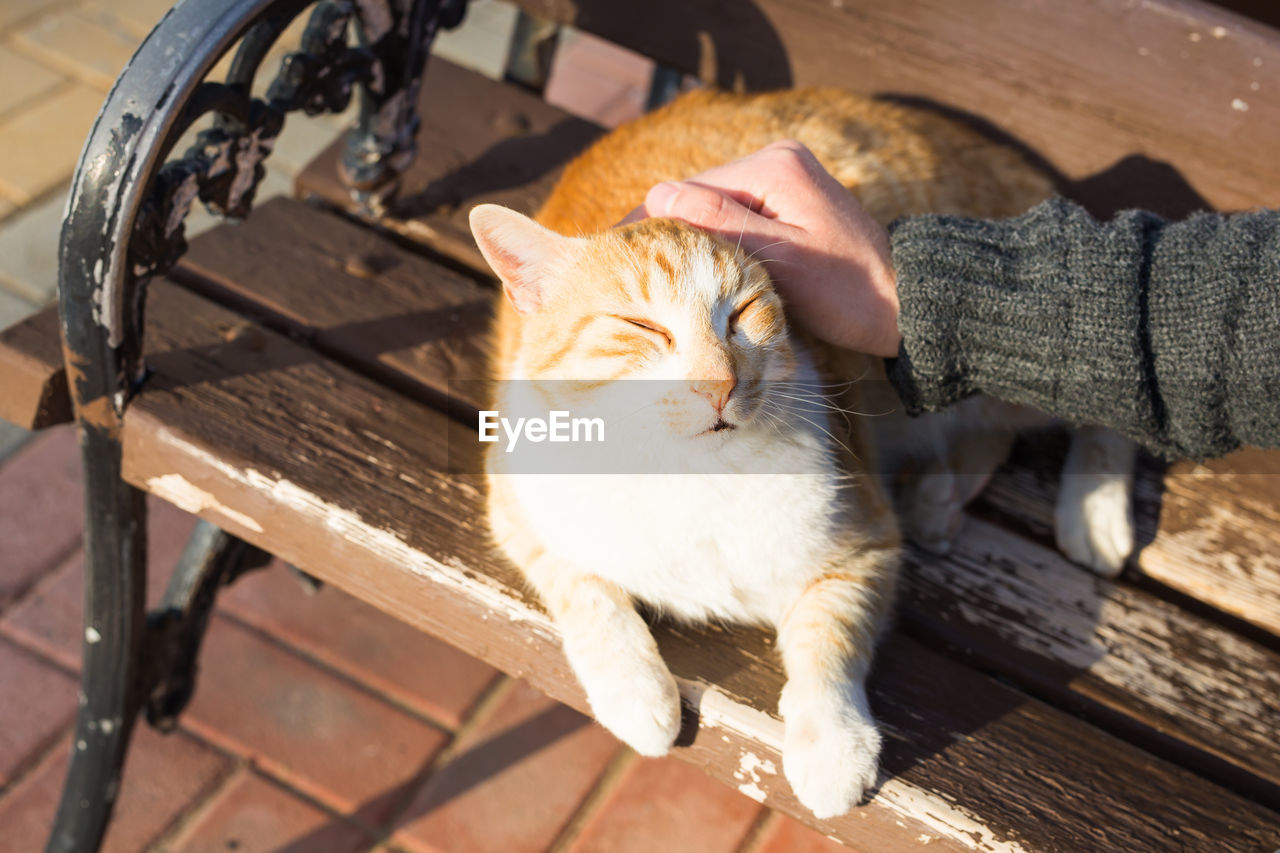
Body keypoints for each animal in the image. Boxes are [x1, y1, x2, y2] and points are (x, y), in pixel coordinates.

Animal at [468, 86, 1131, 819]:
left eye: (743, 314)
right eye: (641, 326)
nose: (720, 384)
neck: (686, 474)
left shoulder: (865, 542)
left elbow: (829, 640)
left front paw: (833, 746)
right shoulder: (516, 502)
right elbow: (584, 591)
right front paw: (636, 693)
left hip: (1026, 363)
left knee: (1106, 390)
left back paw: (1093, 514)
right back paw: (939, 500)